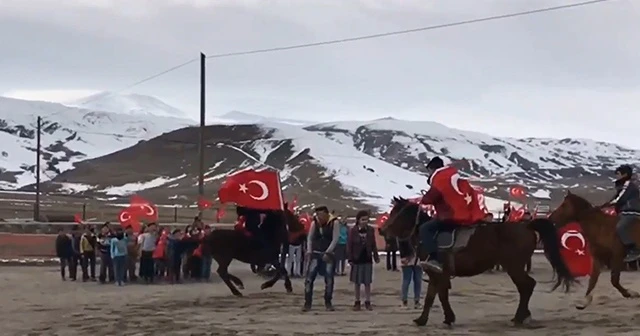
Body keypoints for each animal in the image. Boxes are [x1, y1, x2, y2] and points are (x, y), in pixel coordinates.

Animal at [378, 197, 576, 326]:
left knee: (527, 286)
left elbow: (439, 296)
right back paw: (523, 315)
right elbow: (432, 297)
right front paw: (423, 319)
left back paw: (519, 317)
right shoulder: (436, 275)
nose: (381, 230)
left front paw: (447, 318)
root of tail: (525, 225)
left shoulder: (439, 273)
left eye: (398, 212)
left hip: (513, 266)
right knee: (526, 286)